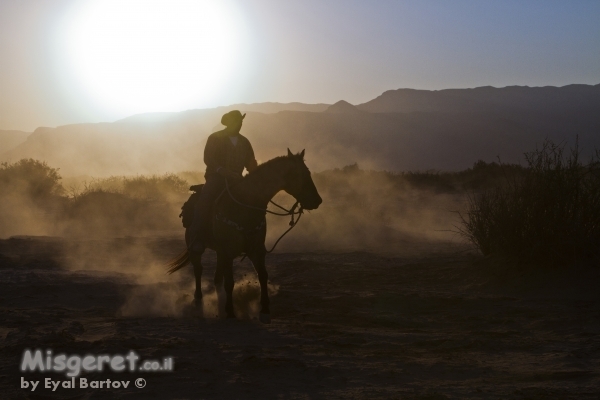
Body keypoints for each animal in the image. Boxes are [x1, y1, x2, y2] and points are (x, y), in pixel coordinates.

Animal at [166, 148, 322, 324]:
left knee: (217, 277)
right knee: (198, 270)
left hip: (220, 252)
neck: (245, 206)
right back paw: (198, 300)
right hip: (196, 247)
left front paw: (265, 311)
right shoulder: (228, 251)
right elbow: (230, 282)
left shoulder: (256, 250)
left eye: (308, 172)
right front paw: (231, 312)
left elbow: (263, 276)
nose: (317, 201)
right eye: (300, 174)